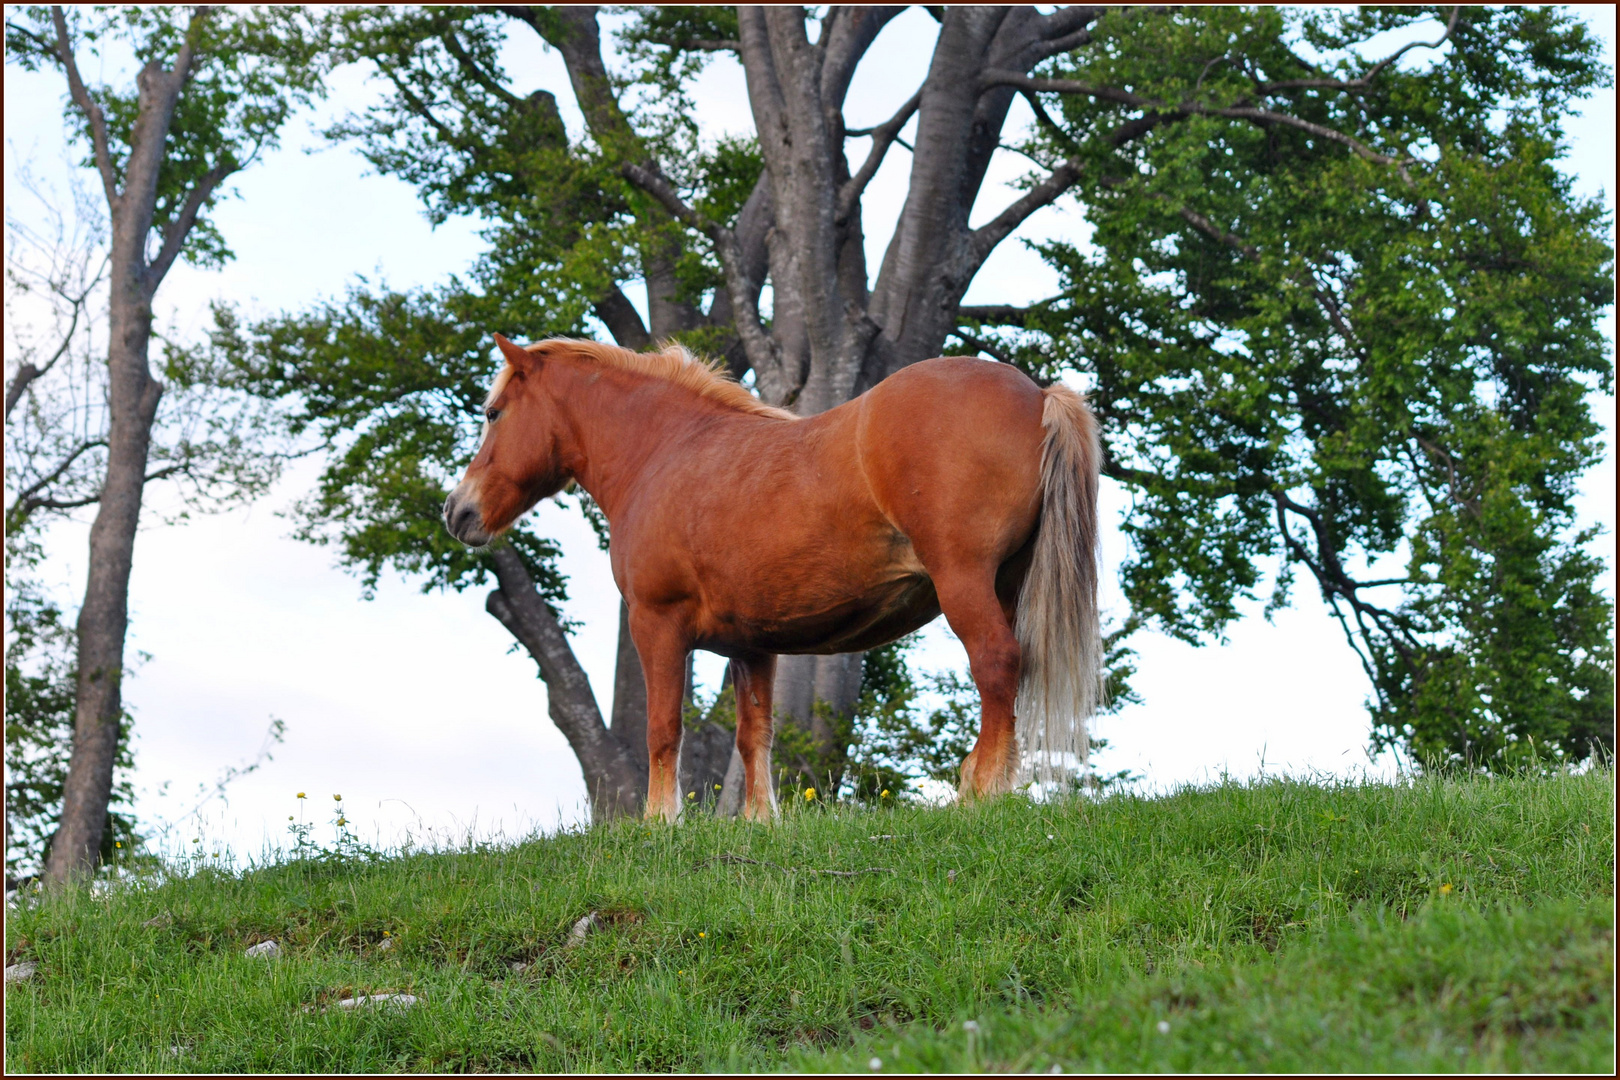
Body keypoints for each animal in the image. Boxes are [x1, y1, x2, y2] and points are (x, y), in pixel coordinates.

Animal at [443, 333, 1101, 822]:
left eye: (493, 413)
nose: (457, 512)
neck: (665, 453)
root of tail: (1037, 394)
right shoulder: (751, 645)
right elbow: (752, 733)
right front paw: (761, 822)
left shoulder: (656, 623)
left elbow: (663, 727)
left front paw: (660, 823)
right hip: (1007, 585)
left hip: (964, 581)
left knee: (995, 663)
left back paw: (979, 793)